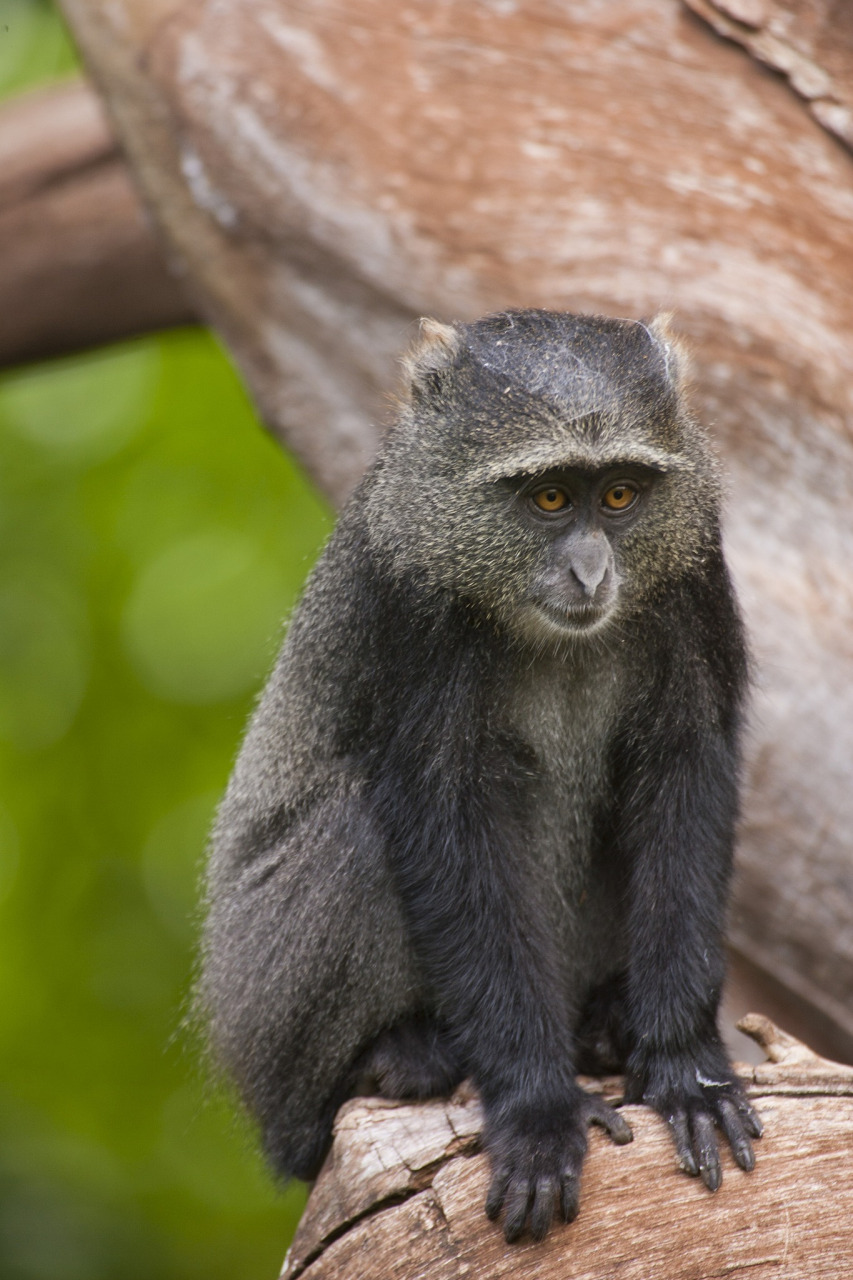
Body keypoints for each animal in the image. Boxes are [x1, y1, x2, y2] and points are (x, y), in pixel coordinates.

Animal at [199, 307, 758, 1239]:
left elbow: (684, 779)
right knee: (355, 831)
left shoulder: (693, 570)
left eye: (618, 495)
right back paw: (394, 1059)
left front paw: (684, 1063)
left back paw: (605, 1026)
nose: (589, 572)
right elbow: (447, 822)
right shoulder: (406, 604)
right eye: (548, 497)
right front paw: (535, 1112)